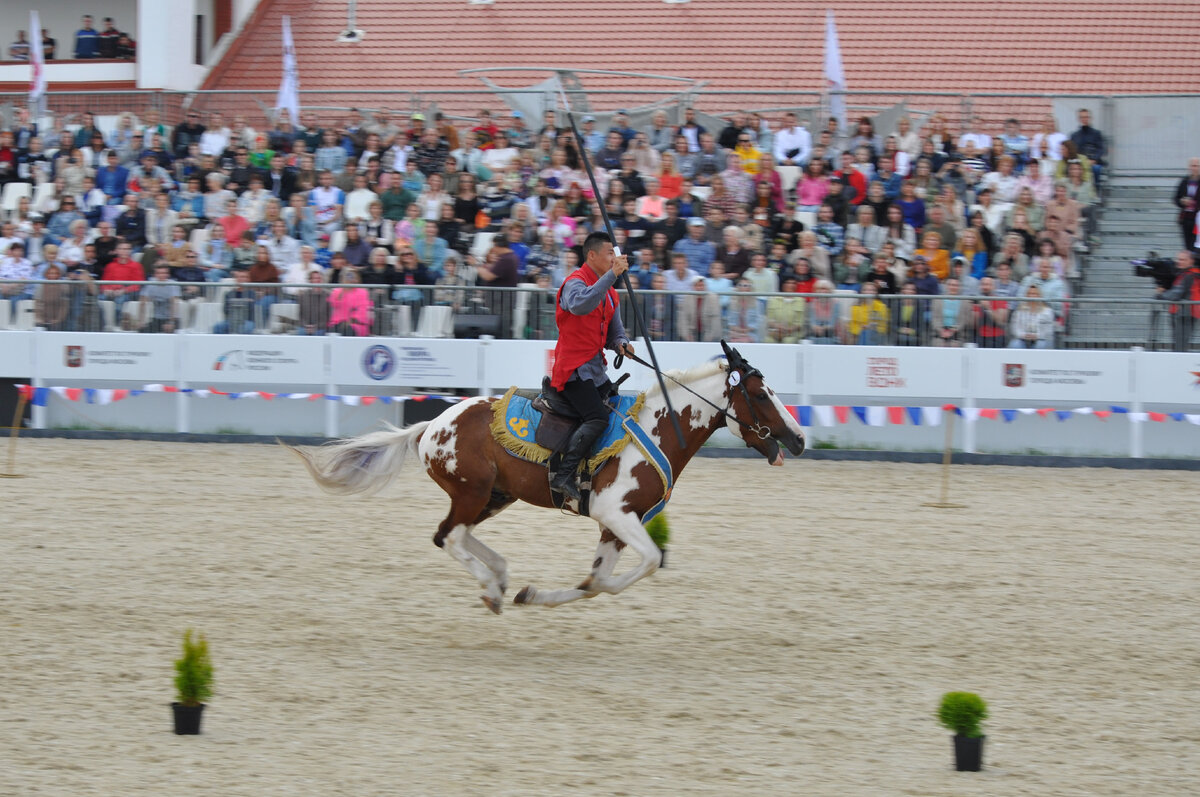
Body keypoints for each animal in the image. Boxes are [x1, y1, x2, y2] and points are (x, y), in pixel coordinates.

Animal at [288, 340, 806, 609]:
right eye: (761, 394)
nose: (799, 439)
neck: (661, 427)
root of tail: (431, 425)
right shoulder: (614, 513)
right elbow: (646, 563)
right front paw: (530, 593)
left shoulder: (616, 526)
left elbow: (598, 582)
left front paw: (535, 594)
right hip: (473, 492)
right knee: (450, 536)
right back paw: (491, 588)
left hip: (494, 496)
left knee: (452, 535)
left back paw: (500, 578)